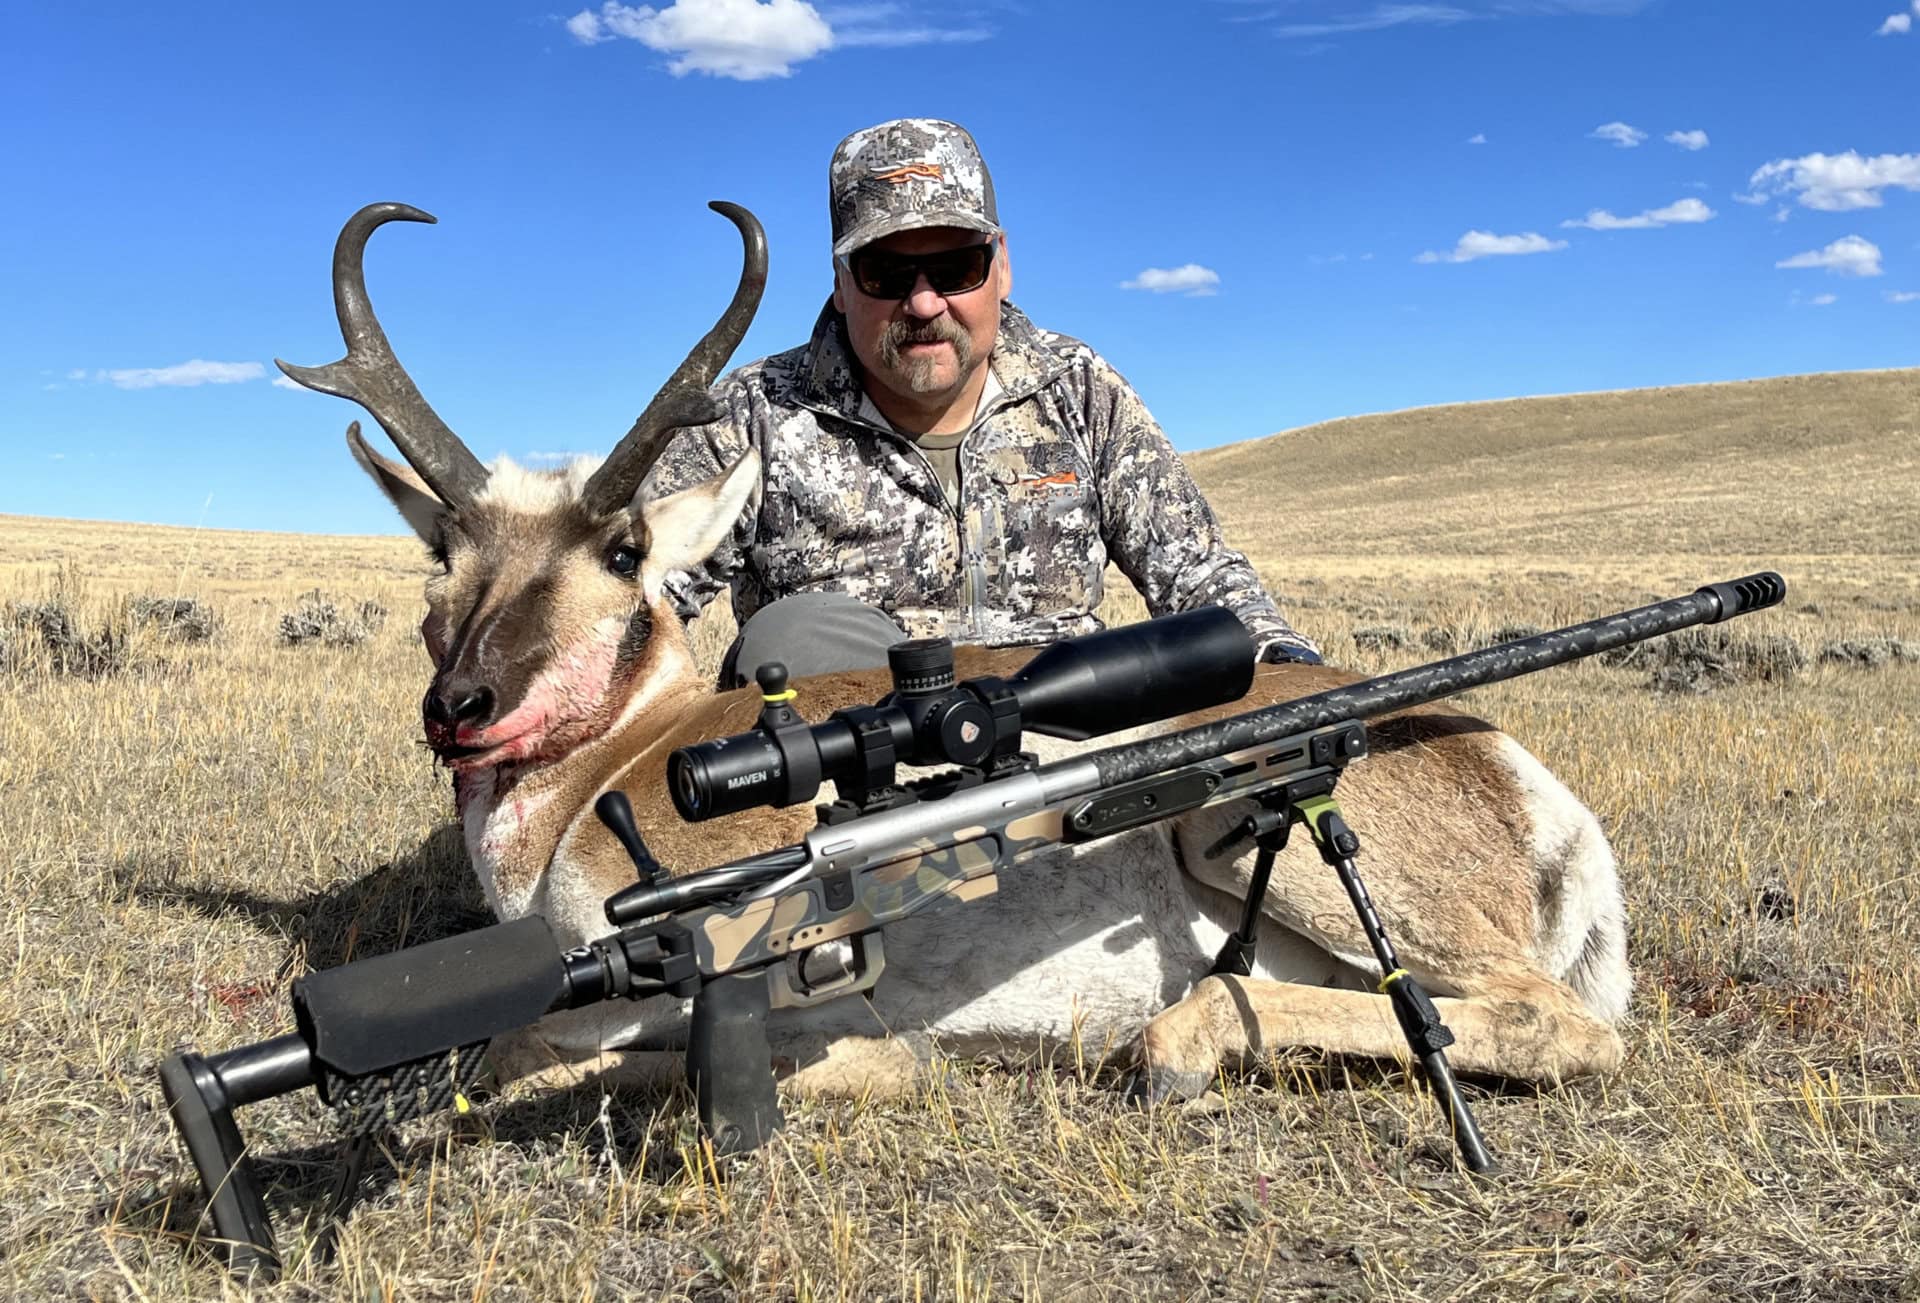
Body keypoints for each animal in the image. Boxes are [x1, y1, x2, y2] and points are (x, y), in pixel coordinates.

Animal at [279, 201, 1630, 1107]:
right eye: (443, 550)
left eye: (622, 551)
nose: (461, 703)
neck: (613, 769)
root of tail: (1521, 776)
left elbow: (525, 1050)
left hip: (1241, 821)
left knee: (1553, 1021)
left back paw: (1173, 1040)